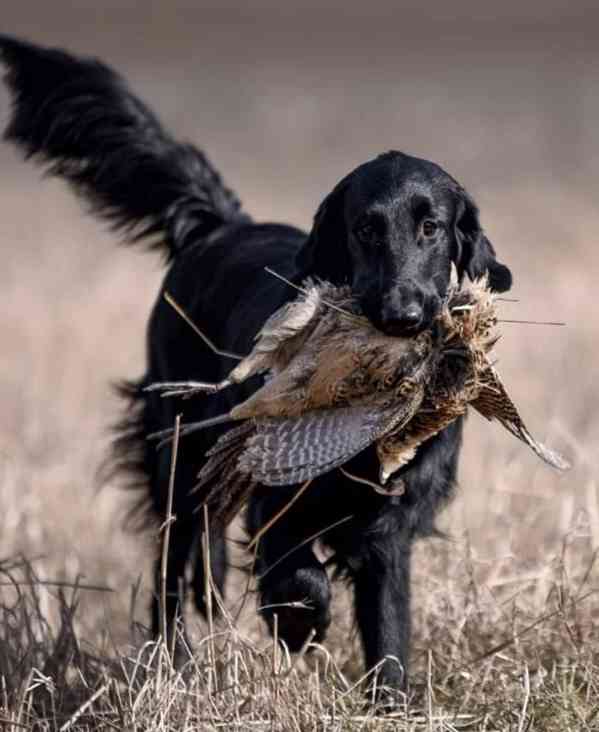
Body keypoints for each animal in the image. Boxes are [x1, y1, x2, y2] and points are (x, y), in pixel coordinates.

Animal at [2, 35, 512, 692]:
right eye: (364, 228)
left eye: (431, 227)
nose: (402, 315)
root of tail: (220, 226)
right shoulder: (275, 497)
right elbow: (297, 574)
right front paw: (297, 626)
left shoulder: (391, 523)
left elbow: (389, 624)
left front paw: (388, 699)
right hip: (175, 449)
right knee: (172, 565)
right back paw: (174, 659)